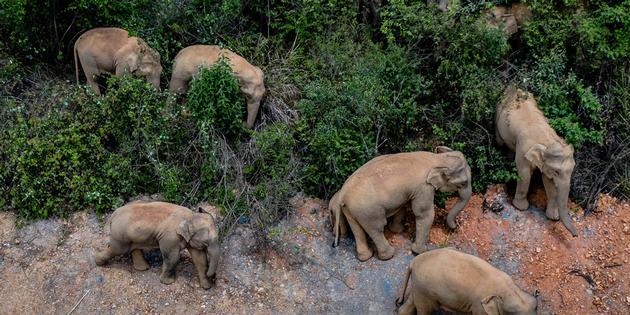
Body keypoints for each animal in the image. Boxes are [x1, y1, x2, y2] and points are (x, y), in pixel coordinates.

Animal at [330, 148, 474, 262]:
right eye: (463, 183)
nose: (455, 227)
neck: (436, 158)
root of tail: (343, 194)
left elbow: (403, 206)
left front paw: (398, 230)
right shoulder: (423, 187)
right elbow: (424, 213)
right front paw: (420, 251)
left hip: (351, 209)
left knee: (357, 229)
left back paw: (365, 257)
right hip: (368, 211)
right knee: (377, 228)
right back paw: (389, 255)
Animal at [400, 249, 540, 315]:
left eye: (536, 307)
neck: (507, 289)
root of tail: (414, 261)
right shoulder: (479, 308)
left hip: (418, 287)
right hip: (426, 290)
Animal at [496, 87, 580, 238]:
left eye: (572, 170)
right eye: (557, 171)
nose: (575, 235)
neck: (547, 141)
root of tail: (513, 87)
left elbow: (548, 182)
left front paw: (553, 217)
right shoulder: (523, 148)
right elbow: (524, 174)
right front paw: (521, 207)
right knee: (499, 141)